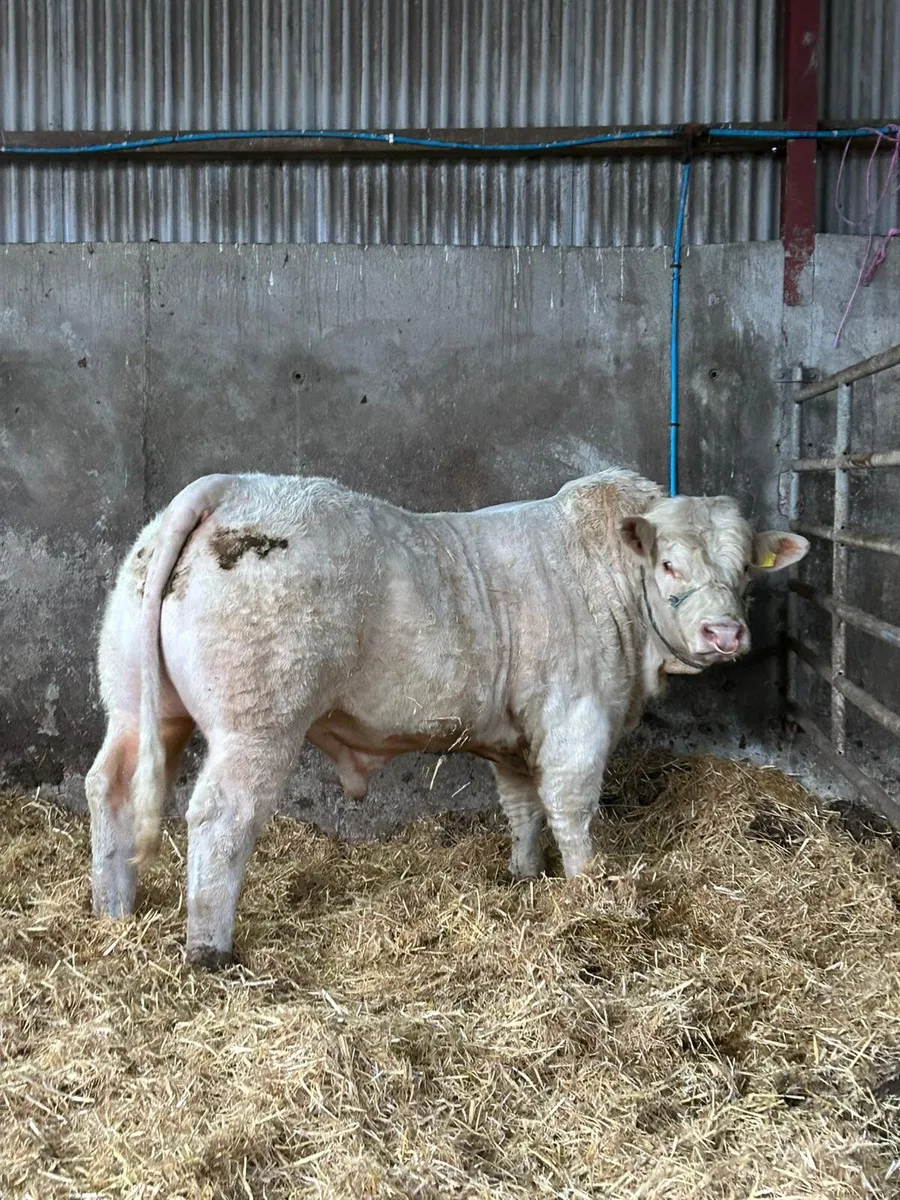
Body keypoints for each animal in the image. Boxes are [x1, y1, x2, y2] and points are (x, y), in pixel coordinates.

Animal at [86, 469, 808, 967]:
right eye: (669, 564)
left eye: (745, 570)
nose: (725, 634)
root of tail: (229, 486)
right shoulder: (576, 715)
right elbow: (571, 806)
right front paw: (588, 890)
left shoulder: (516, 736)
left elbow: (523, 806)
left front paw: (524, 876)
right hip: (258, 722)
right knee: (220, 817)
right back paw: (209, 949)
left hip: (135, 703)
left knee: (110, 787)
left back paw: (112, 913)